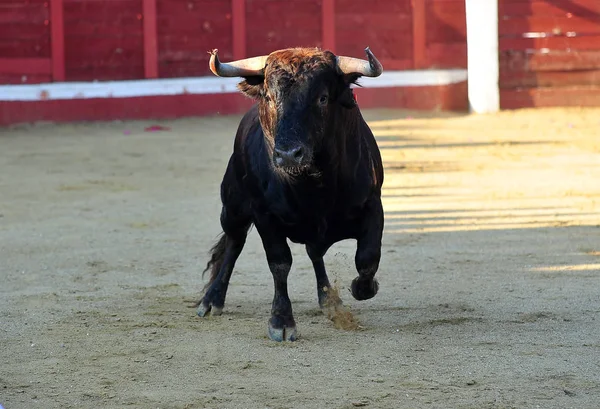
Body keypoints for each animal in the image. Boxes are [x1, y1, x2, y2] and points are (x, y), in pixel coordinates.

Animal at [196, 45, 384, 342]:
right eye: (270, 97)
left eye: (322, 98)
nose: (287, 154)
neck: (313, 184)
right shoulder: (264, 216)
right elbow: (280, 263)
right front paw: (281, 321)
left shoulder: (373, 204)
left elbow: (367, 258)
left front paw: (361, 288)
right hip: (233, 208)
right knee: (234, 244)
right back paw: (212, 299)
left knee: (314, 252)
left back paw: (329, 300)